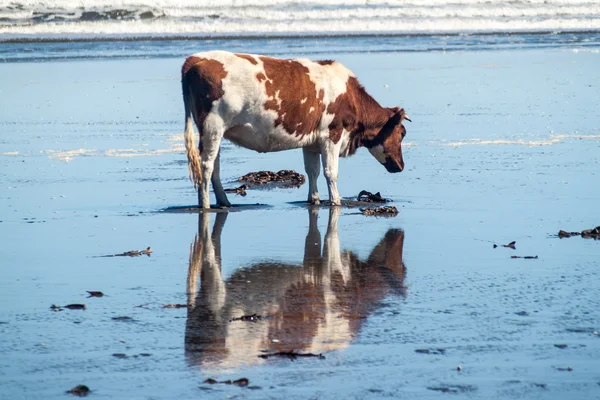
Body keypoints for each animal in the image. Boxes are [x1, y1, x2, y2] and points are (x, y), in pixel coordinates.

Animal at [180, 49, 410, 209]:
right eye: (402, 133)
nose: (401, 166)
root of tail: (196, 59)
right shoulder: (332, 134)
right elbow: (330, 172)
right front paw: (336, 201)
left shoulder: (311, 141)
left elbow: (312, 171)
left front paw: (314, 200)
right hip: (212, 126)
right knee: (206, 166)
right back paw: (205, 204)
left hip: (215, 133)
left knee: (215, 166)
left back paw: (224, 202)